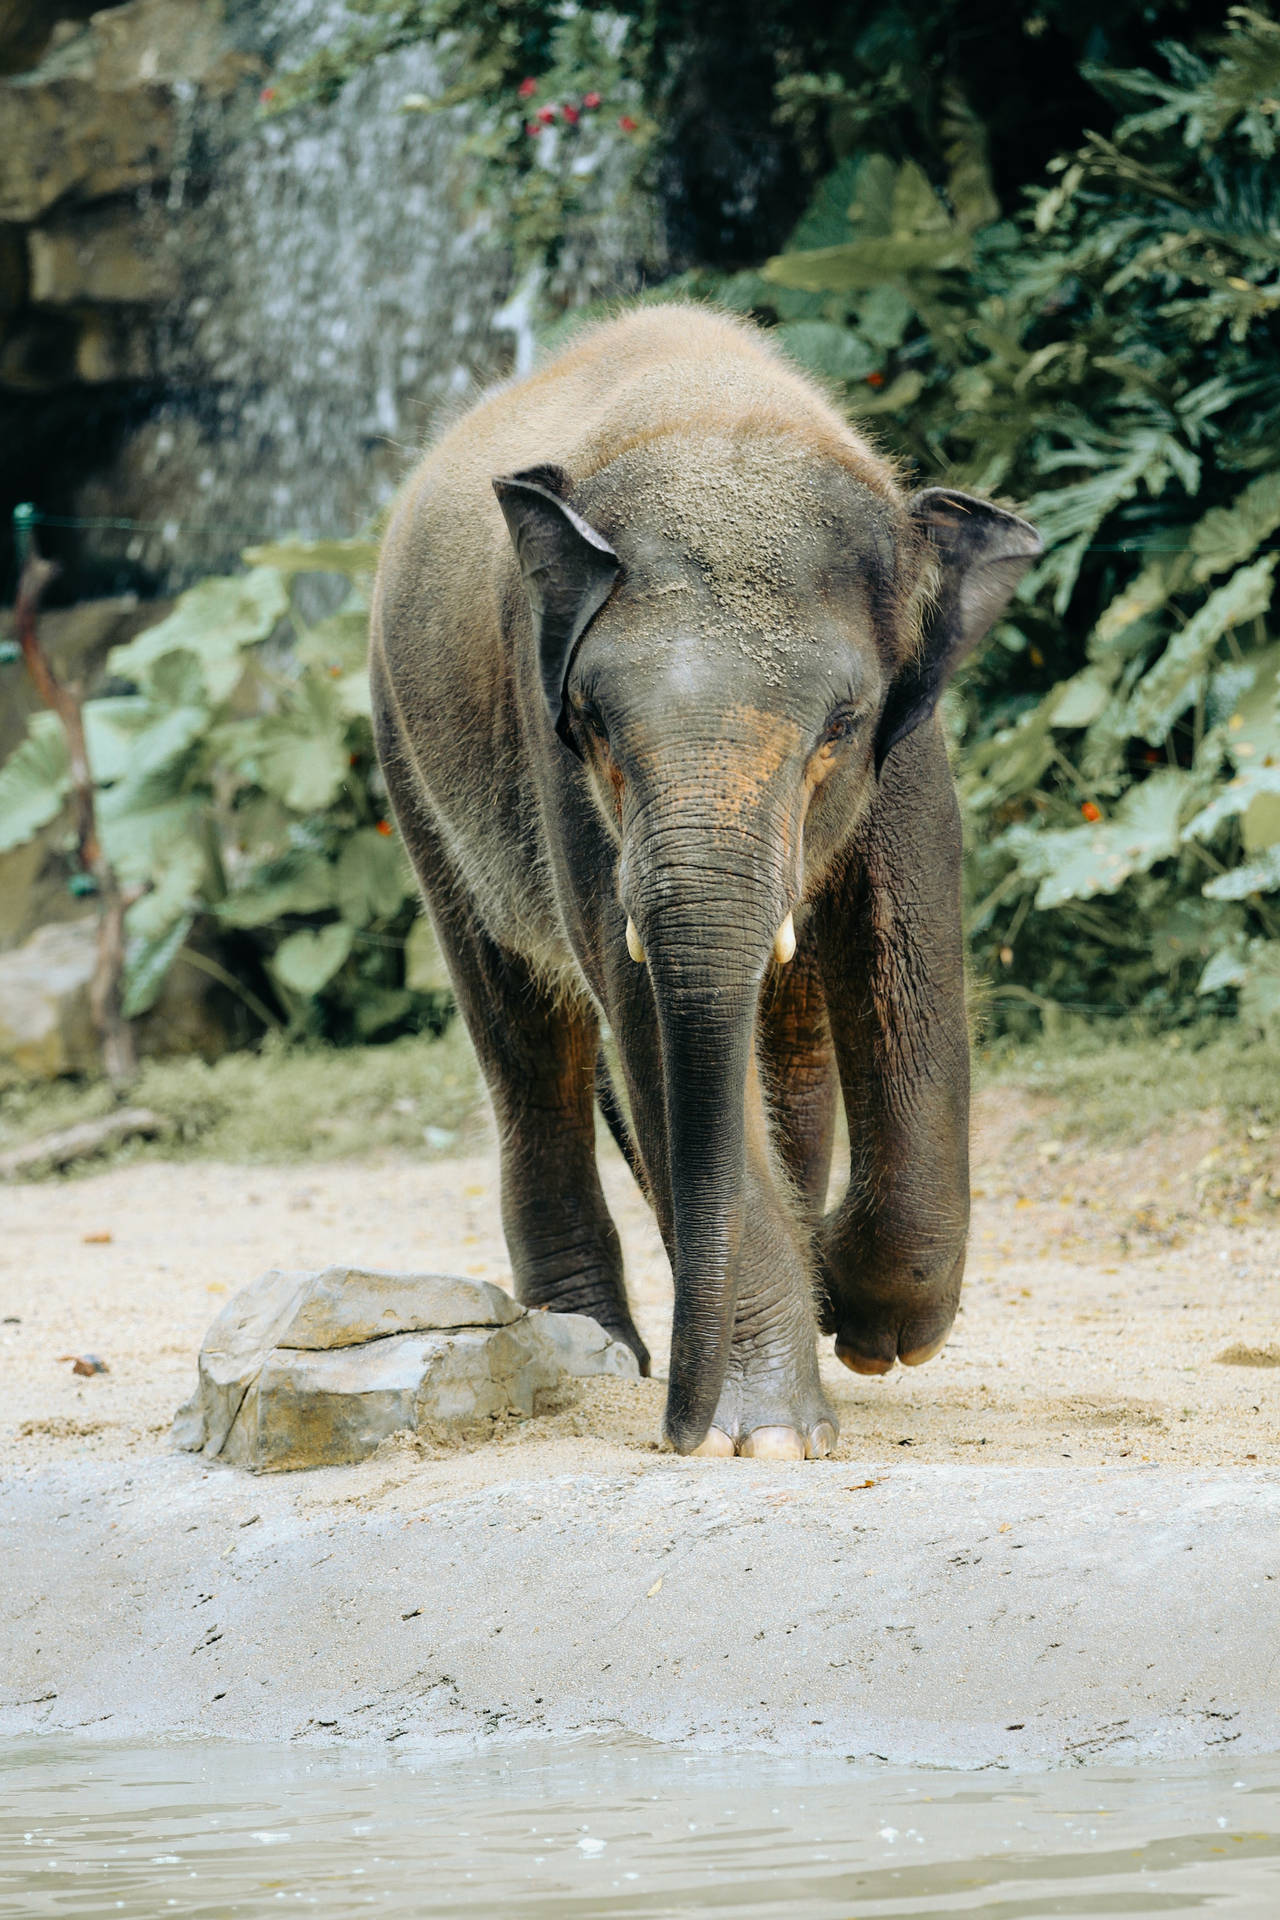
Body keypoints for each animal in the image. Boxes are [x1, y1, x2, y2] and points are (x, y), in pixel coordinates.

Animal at [370, 304, 1041, 1459]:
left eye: (841, 725)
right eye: (592, 722)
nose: (677, 1434)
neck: (717, 420)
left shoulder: (910, 755)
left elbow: (905, 959)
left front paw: (868, 1328)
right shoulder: (553, 753)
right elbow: (641, 1003)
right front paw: (763, 1434)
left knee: (788, 1042)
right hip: (407, 762)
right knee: (529, 1045)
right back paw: (592, 1348)